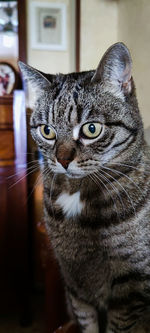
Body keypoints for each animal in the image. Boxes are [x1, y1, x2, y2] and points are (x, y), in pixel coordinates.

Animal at [19, 42, 150, 330]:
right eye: (47, 131)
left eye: (91, 129)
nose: (62, 159)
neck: (77, 194)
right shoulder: (74, 283)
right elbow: (85, 322)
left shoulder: (129, 289)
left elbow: (117, 327)